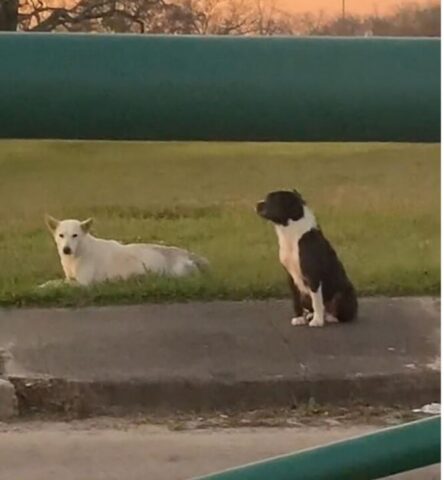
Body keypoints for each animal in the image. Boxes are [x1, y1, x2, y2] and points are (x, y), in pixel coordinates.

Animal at [42, 216, 209, 286]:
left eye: (75, 235)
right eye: (61, 235)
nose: (66, 249)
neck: (80, 251)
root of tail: (187, 253)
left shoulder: (83, 283)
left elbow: (57, 284)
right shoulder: (71, 278)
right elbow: (53, 282)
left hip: (175, 273)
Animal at [256, 189, 358, 328]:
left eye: (272, 199)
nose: (257, 204)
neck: (292, 231)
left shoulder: (312, 274)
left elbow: (317, 301)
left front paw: (317, 321)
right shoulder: (290, 276)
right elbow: (296, 300)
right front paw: (299, 318)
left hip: (343, 295)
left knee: (340, 313)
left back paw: (328, 317)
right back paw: (310, 315)